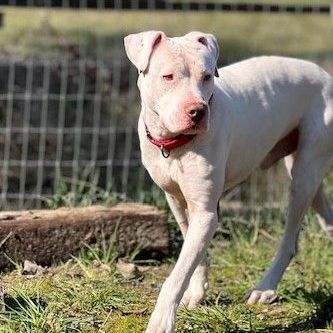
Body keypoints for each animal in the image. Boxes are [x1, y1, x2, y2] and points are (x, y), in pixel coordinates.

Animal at [122, 29, 332, 330]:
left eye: (207, 76)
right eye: (168, 76)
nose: (197, 111)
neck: (175, 143)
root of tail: (325, 75)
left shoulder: (206, 213)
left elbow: (176, 276)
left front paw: (161, 322)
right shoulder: (177, 202)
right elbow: (193, 255)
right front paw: (196, 293)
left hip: (303, 176)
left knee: (290, 239)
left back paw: (265, 287)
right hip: (308, 172)